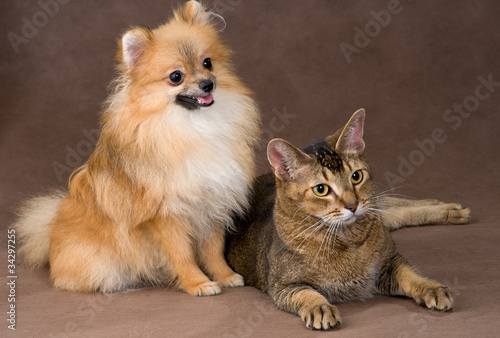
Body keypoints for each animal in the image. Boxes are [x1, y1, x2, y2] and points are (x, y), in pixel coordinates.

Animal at [13, 0, 260, 296]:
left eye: (207, 62)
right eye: (176, 76)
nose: (208, 83)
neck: (193, 125)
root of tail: (50, 233)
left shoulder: (212, 203)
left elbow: (214, 250)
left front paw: (224, 276)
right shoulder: (167, 214)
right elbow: (182, 254)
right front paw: (198, 283)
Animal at [229, 109, 470, 330]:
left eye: (356, 176)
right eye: (321, 189)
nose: (352, 205)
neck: (348, 239)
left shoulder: (389, 261)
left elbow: (411, 274)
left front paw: (431, 287)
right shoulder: (283, 285)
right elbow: (306, 294)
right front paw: (320, 308)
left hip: (374, 206)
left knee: (392, 206)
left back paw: (450, 209)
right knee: (395, 212)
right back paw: (452, 210)